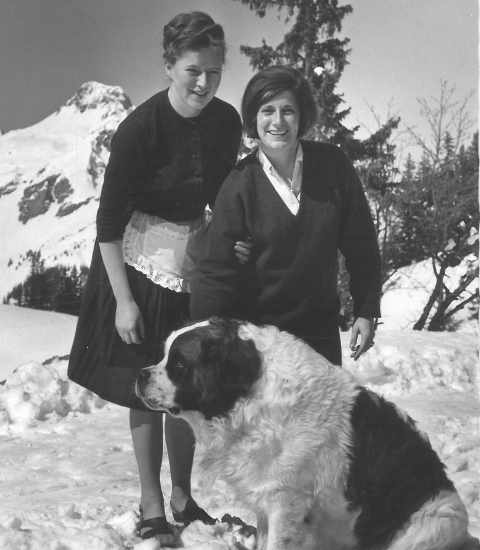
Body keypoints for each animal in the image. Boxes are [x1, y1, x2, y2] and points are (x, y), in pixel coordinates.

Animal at [134, 320, 476, 550]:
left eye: (178, 364)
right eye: (164, 357)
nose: (140, 374)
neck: (249, 399)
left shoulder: (286, 502)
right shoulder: (266, 499)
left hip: (435, 521)